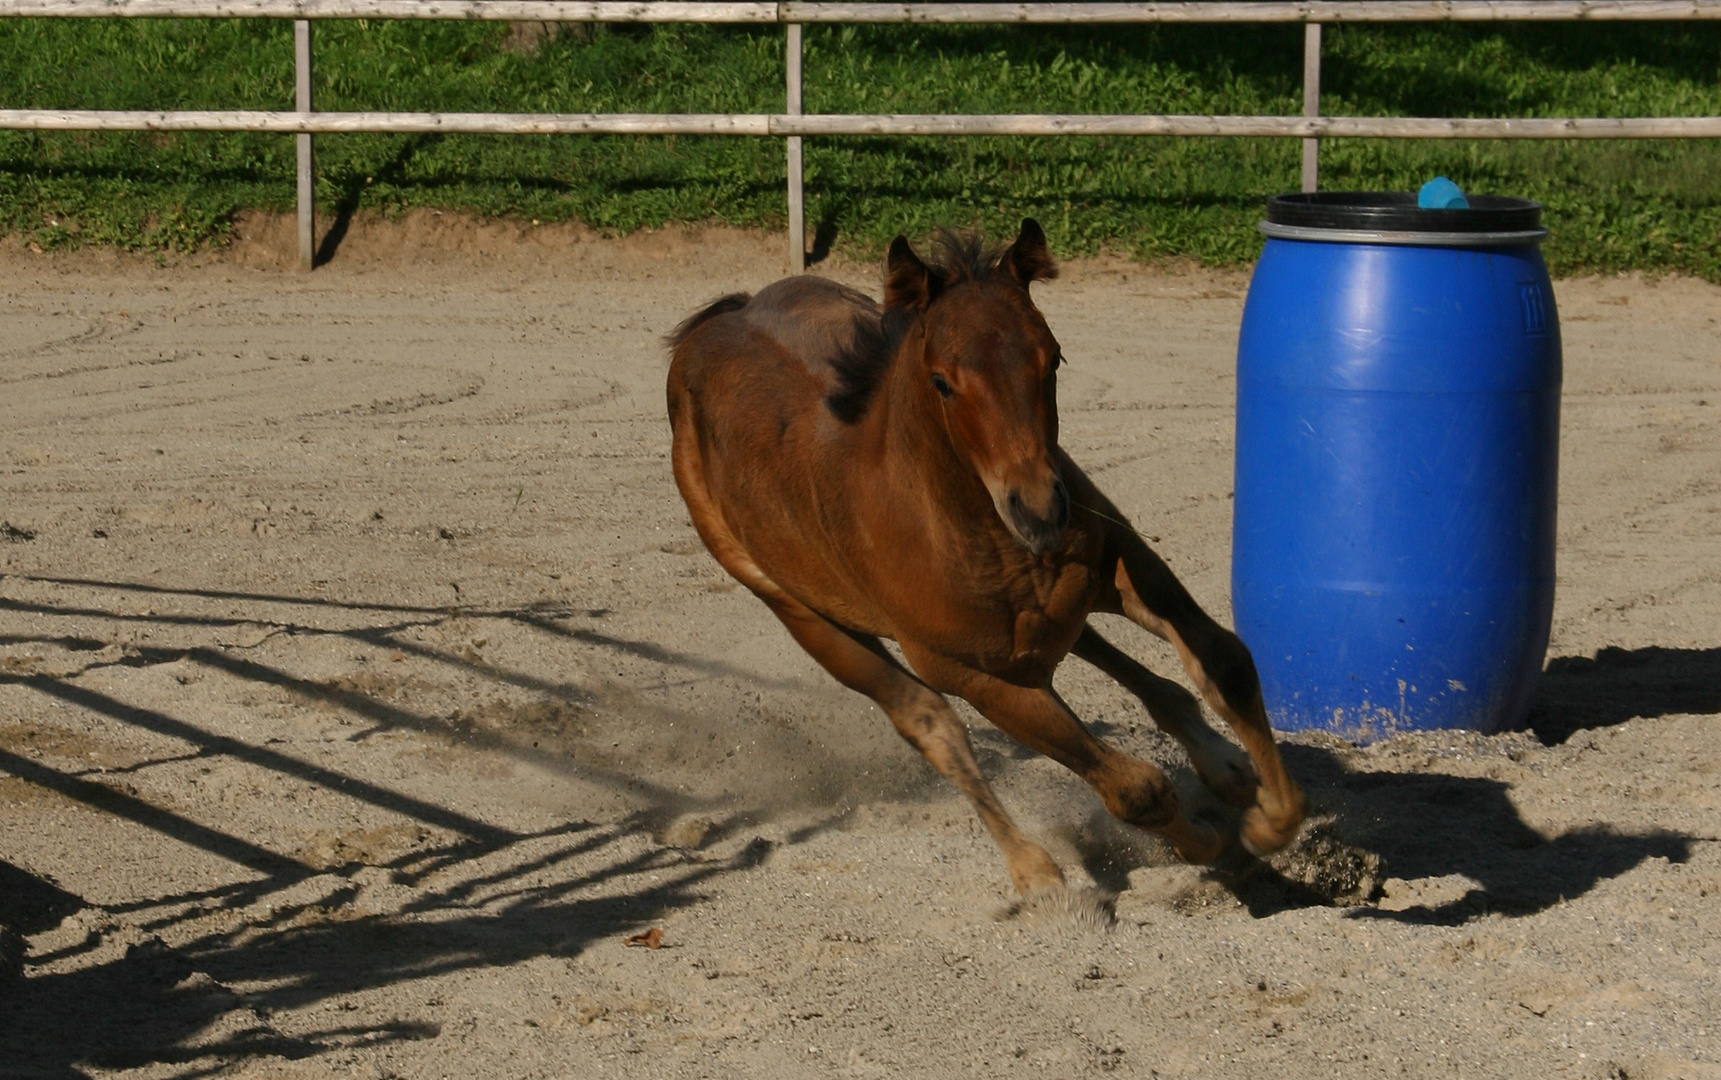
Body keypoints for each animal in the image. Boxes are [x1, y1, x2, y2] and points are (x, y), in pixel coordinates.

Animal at [660, 217, 1301, 894]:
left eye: (1053, 359)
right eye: (943, 381)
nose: (1041, 510)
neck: (978, 536)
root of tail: (713, 325)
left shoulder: (1118, 562)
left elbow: (1226, 661)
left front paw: (1271, 818)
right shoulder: (970, 674)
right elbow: (1133, 789)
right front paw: (1221, 842)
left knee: (1105, 658)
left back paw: (1225, 766)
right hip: (803, 613)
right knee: (929, 723)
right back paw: (1033, 869)